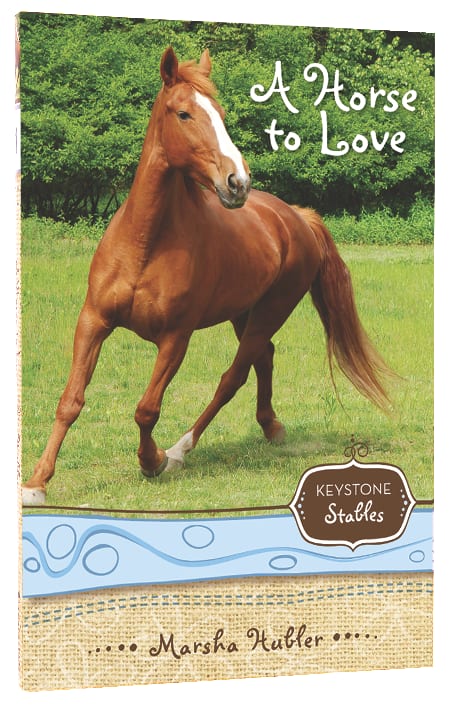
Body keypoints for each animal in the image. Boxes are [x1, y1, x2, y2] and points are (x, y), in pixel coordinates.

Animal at [22, 47, 392, 506]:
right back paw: (270, 426)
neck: (146, 243)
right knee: (263, 358)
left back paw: (182, 449)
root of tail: (296, 217)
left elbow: (147, 408)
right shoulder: (93, 321)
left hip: (271, 311)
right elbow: (70, 400)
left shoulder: (175, 338)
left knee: (233, 377)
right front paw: (36, 483)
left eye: (221, 113)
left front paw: (152, 461)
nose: (237, 182)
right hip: (243, 313)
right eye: (183, 113)